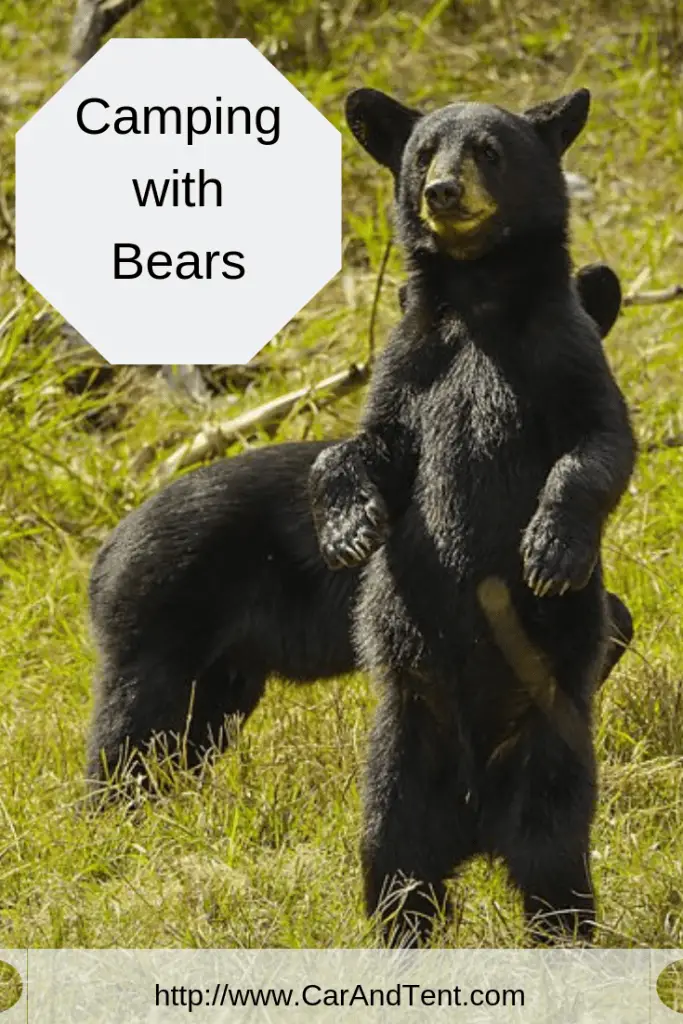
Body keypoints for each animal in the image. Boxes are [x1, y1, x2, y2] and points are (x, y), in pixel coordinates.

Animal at [309, 86, 637, 946]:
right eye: (424, 152)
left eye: (488, 149)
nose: (442, 192)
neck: (479, 296)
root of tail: (475, 819)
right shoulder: (411, 365)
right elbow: (366, 445)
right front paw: (348, 528)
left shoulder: (563, 349)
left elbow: (596, 443)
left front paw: (551, 552)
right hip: (400, 752)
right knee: (391, 867)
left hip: (550, 750)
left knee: (554, 867)